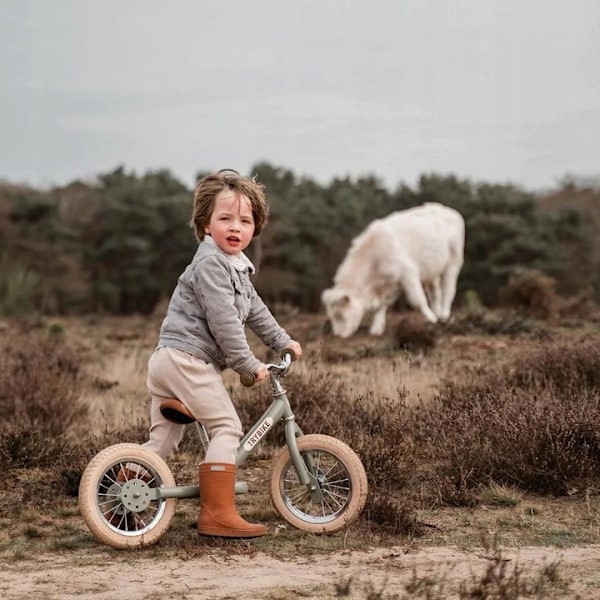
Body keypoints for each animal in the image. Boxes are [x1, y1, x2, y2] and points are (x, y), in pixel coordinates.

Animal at [322, 204, 466, 338]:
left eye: (339, 315)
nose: (337, 335)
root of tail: (449, 210)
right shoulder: (391, 284)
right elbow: (382, 306)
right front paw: (377, 328)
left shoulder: (408, 274)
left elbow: (417, 300)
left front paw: (430, 318)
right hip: (432, 270)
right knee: (435, 293)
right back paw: (438, 313)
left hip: (453, 262)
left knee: (448, 290)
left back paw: (444, 315)